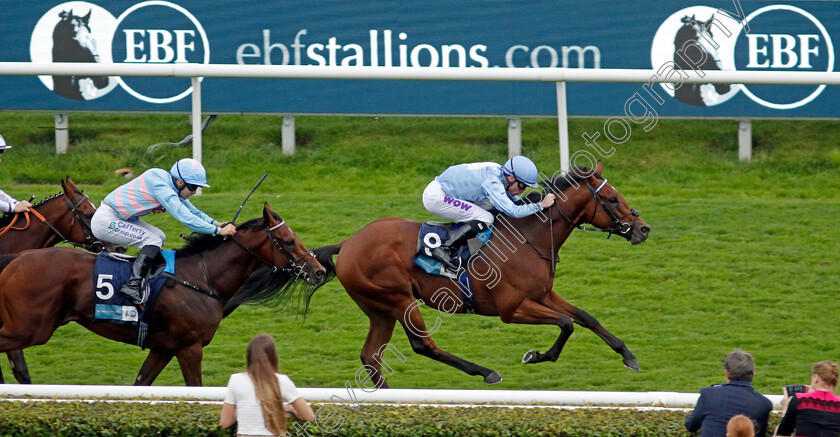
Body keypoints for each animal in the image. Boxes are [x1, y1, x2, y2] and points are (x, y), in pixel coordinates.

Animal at [0, 203, 324, 384]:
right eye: (289, 241)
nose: (319, 270)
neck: (202, 277)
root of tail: (17, 257)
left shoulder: (164, 347)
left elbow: (141, 383)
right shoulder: (190, 347)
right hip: (32, 328)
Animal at [314, 161, 648, 384]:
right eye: (613, 199)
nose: (643, 229)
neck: (529, 238)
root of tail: (348, 243)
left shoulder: (543, 294)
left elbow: (585, 317)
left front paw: (628, 356)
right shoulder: (511, 309)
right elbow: (566, 324)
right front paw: (536, 355)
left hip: (379, 310)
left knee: (371, 356)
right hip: (398, 300)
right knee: (423, 345)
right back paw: (486, 372)